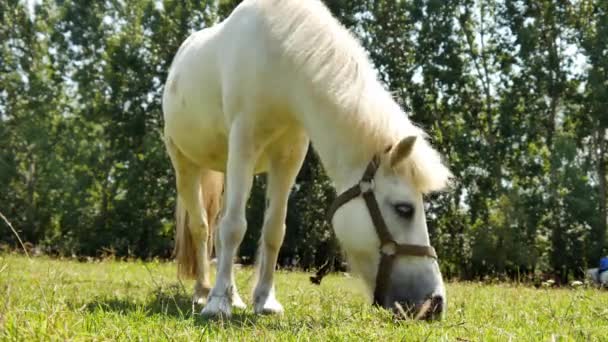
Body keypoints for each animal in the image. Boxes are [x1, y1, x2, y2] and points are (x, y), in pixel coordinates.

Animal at [162, 0, 452, 320]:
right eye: (404, 209)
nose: (435, 303)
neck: (280, 61)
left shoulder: (289, 156)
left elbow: (274, 230)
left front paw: (265, 301)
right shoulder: (243, 143)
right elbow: (234, 227)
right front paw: (217, 304)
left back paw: (234, 296)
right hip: (185, 163)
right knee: (201, 227)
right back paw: (203, 292)